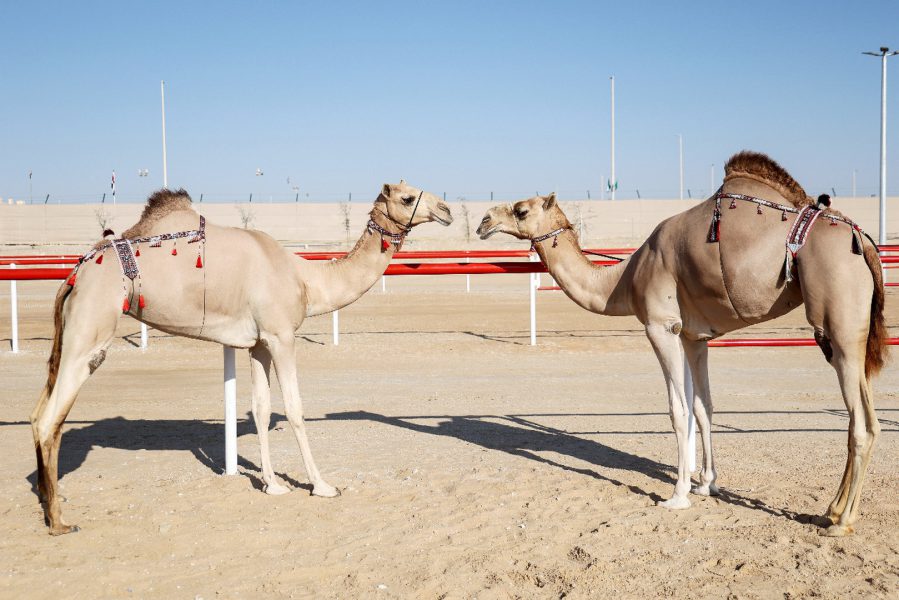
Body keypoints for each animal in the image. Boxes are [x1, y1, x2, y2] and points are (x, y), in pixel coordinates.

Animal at [31, 181, 453, 535]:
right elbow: (295, 409)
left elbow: (262, 410)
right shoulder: (281, 336)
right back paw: (59, 521)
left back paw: (54, 499)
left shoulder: (259, 343)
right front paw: (322, 485)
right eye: (407, 198)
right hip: (91, 329)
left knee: (38, 414)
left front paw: (273, 485)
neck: (307, 280)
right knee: (51, 418)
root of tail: (75, 274)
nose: (447, 209)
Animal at [476, 151, 888, 536]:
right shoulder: (694, 336)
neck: (625, 278)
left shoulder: (661, 326)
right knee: (861, 417)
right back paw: (831, 510)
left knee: (862, 423)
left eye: (521, 209)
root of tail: (865, 242)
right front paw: (707, 484)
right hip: (847, 334)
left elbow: (678, 411)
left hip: (839, 325)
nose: (483, 221)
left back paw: (841, 521)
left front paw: (677, 495)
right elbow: (703, 408)